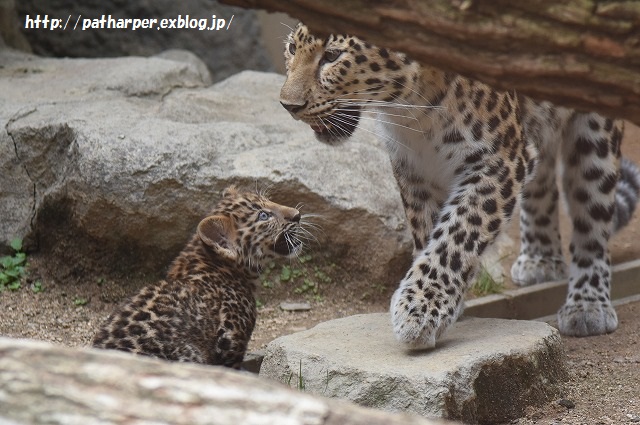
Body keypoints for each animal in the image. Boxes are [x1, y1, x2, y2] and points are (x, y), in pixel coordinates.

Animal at [280, 24, 640, 348]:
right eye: (292, 49)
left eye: (332, 56)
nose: (288, 106)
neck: (412, 109)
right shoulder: (416, 172)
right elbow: (429, 234)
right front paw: (446, 307)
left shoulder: (501, 159)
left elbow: (458, 233)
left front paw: (419, 308)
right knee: (543, 180)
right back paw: (540, 259)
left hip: (594, 131)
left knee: (591, 214)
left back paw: (587, 303)